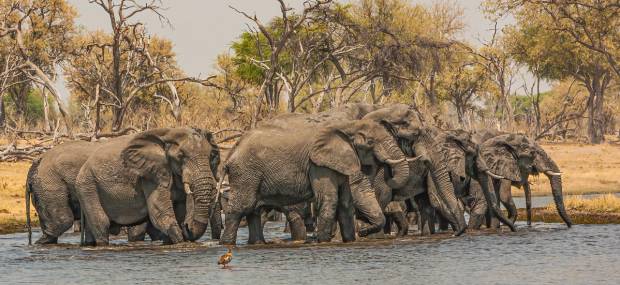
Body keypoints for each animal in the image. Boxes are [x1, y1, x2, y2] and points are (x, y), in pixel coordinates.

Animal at [74, 127, 220, 244]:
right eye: (180, 156)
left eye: (210, 155)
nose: (188, 226)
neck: (170, 133)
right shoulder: (151, 175)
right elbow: (159, 213)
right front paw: (181, 242)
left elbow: (179, 210)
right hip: (87, 186)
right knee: (102, 223)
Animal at [220, 116, 410, 244]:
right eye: (370, 142)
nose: (363, 231)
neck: (348, 125)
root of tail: (232, 151)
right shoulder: (318, 164)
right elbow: (330, 200)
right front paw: (323, 241)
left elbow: (346, 203)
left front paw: (349, 241)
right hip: (246, 173)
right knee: (241, 208)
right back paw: (227, 244)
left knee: (253, 210)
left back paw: (257, 243)